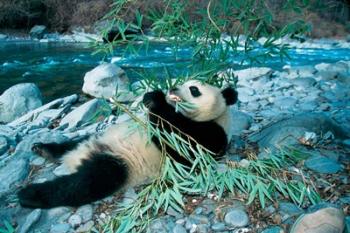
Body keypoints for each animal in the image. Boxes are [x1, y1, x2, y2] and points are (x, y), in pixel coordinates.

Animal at [18, 80, 238, 209]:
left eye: (194, 89)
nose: (172, 88)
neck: (218, 116)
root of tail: (77, 159)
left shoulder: (211, 136)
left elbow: (179, 140)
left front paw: (156, 99)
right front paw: (150, 96)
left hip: (120, 164)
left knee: (83, 184)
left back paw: (30, 194)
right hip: (96, 138)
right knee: (71, 144)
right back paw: (44, 149)